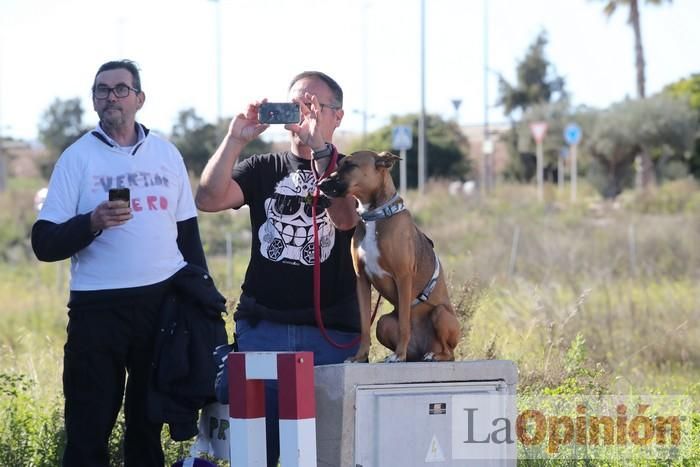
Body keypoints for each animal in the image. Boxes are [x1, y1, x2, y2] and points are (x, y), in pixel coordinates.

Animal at [316, 150, 460, 362]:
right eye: (338, 164)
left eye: (350, 165)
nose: (321, 184)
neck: (374, 216)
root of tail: (423, 348)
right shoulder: (361, 280)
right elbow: (364, 328)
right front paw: (359, 357)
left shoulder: (403, 277)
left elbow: (404, 324)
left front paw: (398, 355)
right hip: (383, 323)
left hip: (440, 314)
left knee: (449, 352)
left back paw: (432, 355)